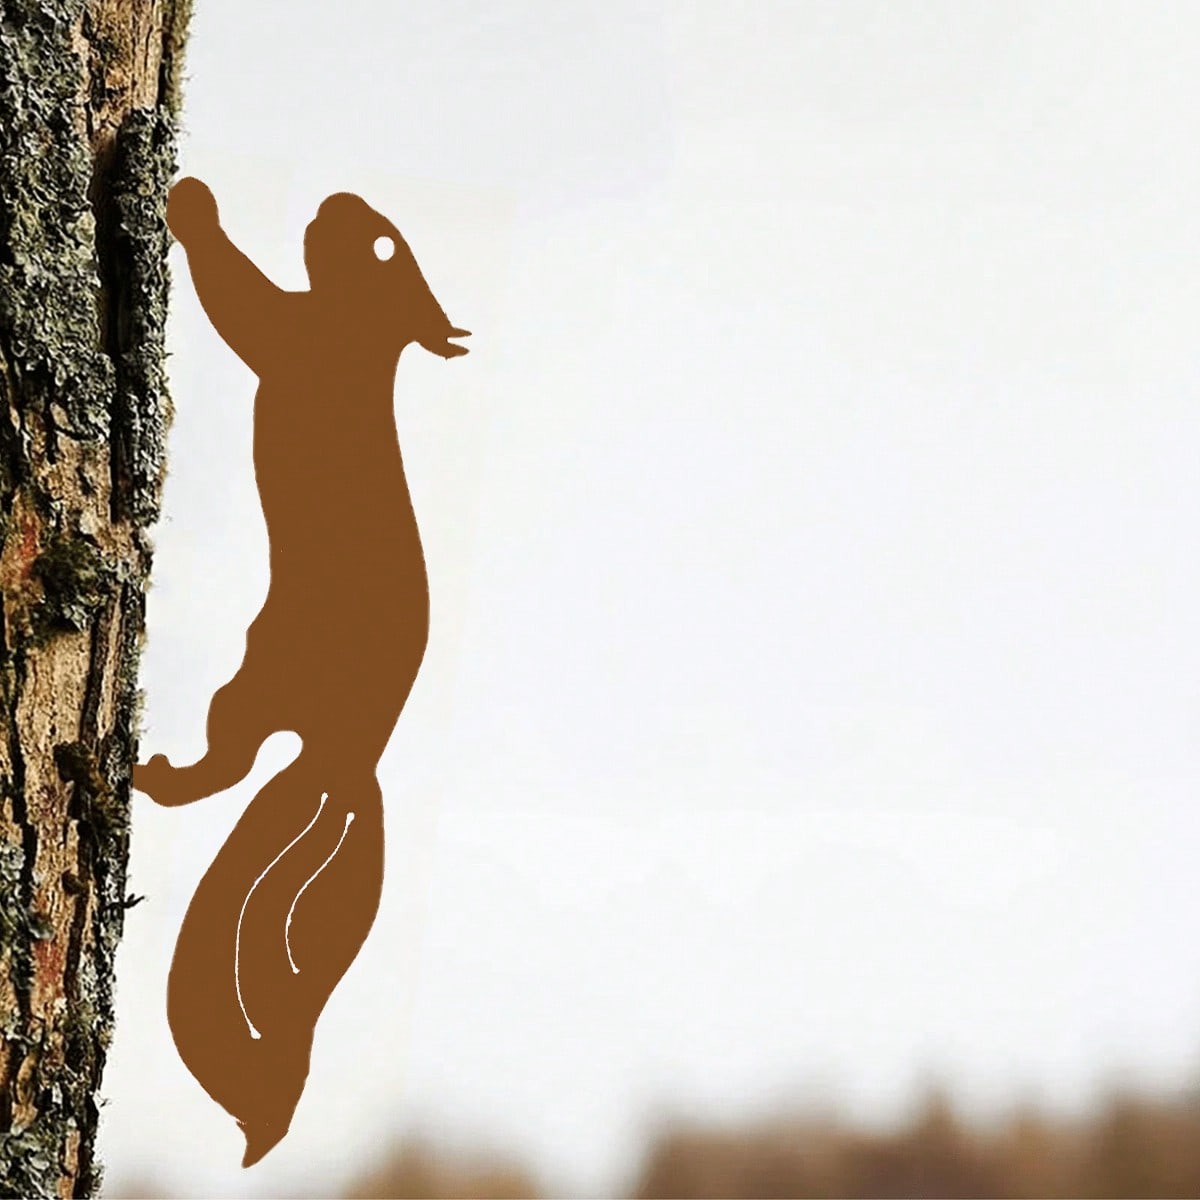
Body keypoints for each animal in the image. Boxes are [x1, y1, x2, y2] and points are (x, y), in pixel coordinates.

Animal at [133, 177, 469, 1167]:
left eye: (386, 244)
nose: (339, 198)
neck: (358, 335)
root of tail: (350, 764)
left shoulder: (288, 335)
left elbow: (236, 295)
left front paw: (189, 202)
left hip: (252, 679)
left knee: (226, 764)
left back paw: (151, 773)